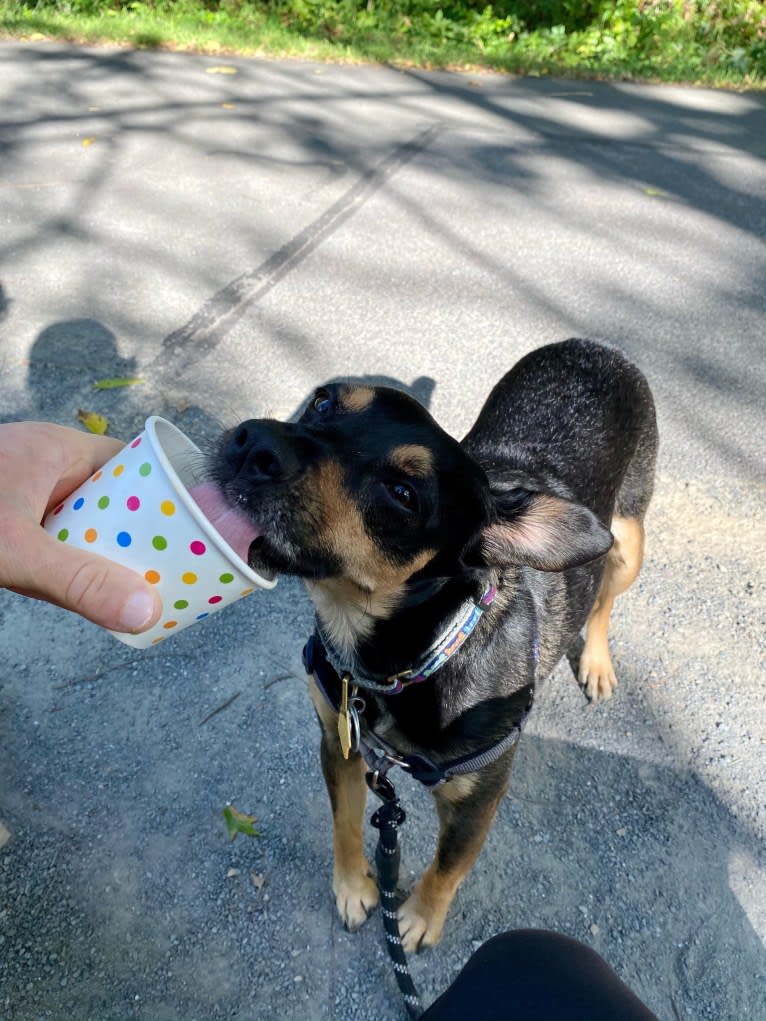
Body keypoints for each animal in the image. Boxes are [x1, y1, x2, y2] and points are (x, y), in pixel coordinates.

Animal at [204, 338, 661, 951]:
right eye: (323, 402)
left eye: (403, 494)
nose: (254, 443)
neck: (398, 657)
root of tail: (596, 346)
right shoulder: (339, 740)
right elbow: (345, 823)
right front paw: (353, 887)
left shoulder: (478, 798)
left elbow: (447, 867)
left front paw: (419, 919)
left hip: (626, 540)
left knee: (604, 600)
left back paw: (596, 661)